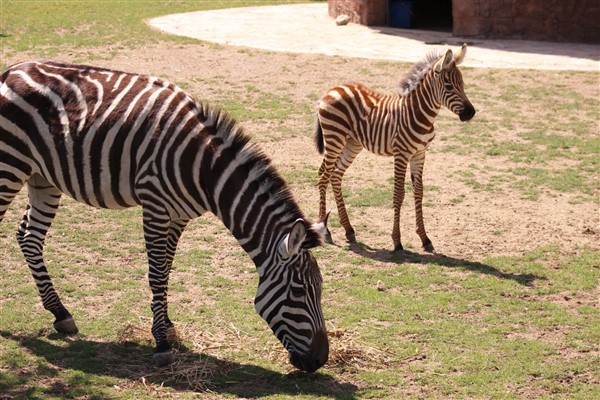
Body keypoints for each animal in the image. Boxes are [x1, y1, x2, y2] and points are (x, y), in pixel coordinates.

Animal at [0, 60, 328, 372]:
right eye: (299, 291)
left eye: (320, 289)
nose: (320, 359)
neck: (205, 171)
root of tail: (12, 70)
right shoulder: (155, 206)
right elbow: (157, 273)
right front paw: (161, 343)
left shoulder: (179, 216)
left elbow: (167, 269)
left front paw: (168, 327)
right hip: (10, 165)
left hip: (42, 176)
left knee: (29, 237)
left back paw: (60, 313)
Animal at [316, 43, 476, 250]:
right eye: (449, 86)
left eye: (462, 84)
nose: (471, 113)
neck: (420, 114)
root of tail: (333, 88)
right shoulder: (401, 154)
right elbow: (399, 194)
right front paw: (397, 240)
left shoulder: (420, 153)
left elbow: (419, 192)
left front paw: (424, 238)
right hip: (334, 137)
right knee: (323, 176)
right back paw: (325, 229)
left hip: (352, 143)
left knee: (335, 175)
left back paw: (348, 229)